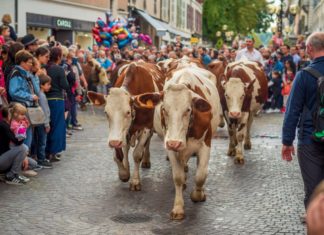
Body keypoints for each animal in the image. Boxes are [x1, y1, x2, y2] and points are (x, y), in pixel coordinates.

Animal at [87, 62, 165, 191]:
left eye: (128, 112)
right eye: (106, 113)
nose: (113, 142)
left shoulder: (146, 127)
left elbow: (137, 154)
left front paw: (135, 181)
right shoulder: (116, 134)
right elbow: (118, 155)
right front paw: (124, 173)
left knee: (146, 143)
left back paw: (146, 160)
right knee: (126, 147)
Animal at [135, 64, 223, 220]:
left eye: (188, 109)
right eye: (164, 109)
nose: (175, 143)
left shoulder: (205, 144)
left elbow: (201, 175)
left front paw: (198, 195)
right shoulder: (170, 145)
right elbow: (178, 177)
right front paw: (178, 208)